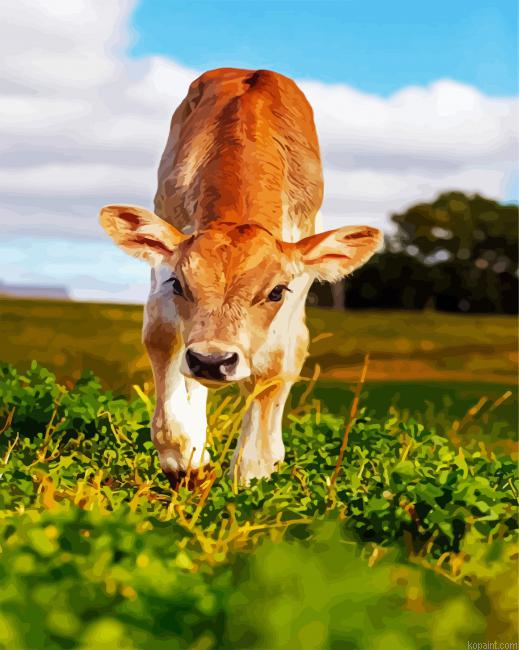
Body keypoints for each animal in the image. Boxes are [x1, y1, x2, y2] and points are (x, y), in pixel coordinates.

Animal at [100, 68, 381, 487]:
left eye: (276, 291)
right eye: (180, 284)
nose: (211, 360)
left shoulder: (298, 285)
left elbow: (277, 361)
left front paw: (254, 471)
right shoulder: (162, 272)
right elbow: (162, 338)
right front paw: (184, 457)